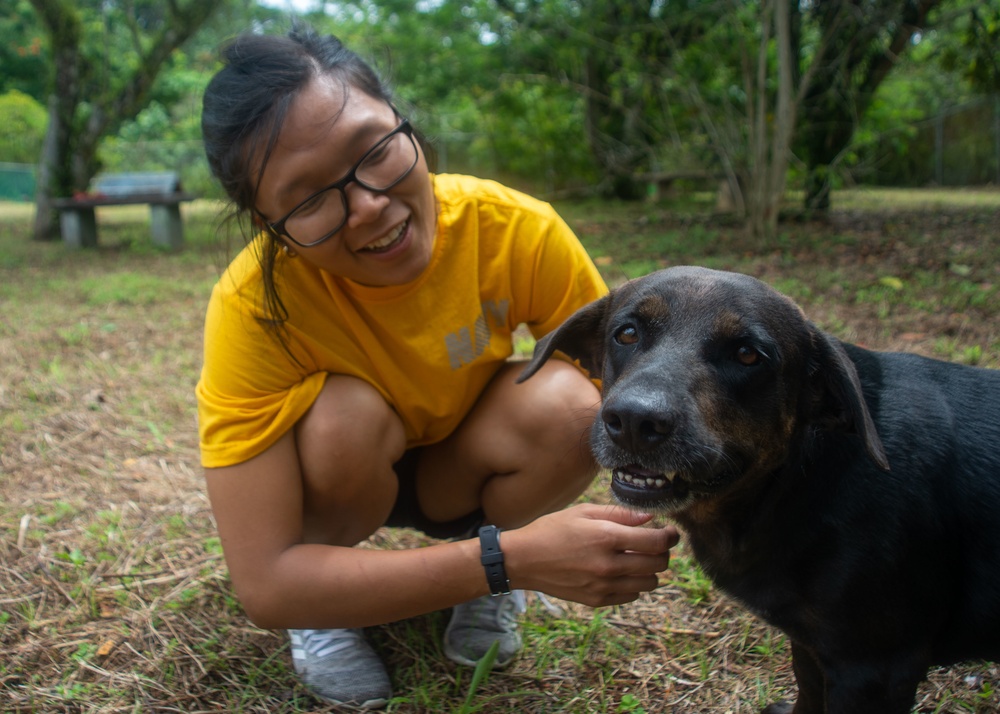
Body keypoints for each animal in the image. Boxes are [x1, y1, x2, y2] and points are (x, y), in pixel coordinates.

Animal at [520, 264, 1000, 708]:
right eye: (627, 333)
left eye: (748, 355)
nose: (636, 422)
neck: (795, 482)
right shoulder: (812, 645)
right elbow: (808, 691)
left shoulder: (875, 668)